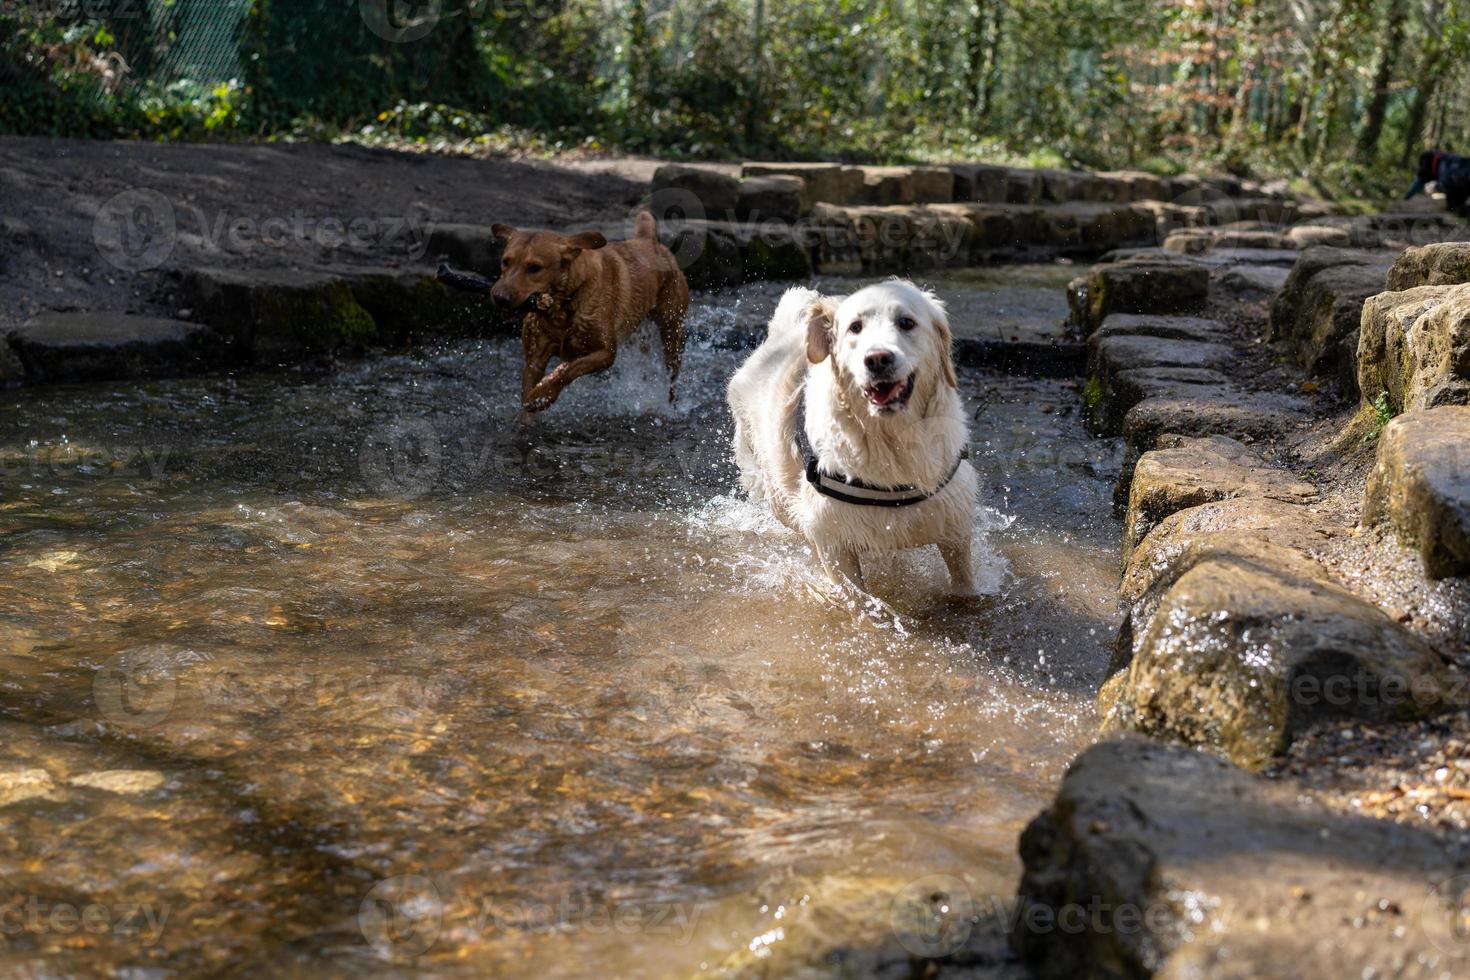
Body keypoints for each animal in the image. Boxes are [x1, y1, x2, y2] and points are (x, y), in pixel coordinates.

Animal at [485, 213, 685, 420]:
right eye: (505, 261)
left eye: (534, 267)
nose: (499, 297)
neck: (564, 305)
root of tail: (649, 240)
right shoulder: (535, 358)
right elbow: (527, 398)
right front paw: (530, 409)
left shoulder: (606, 353)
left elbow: (569, 369)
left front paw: (542, 395)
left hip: (672, 333)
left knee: (672, 376)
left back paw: (669, 406)